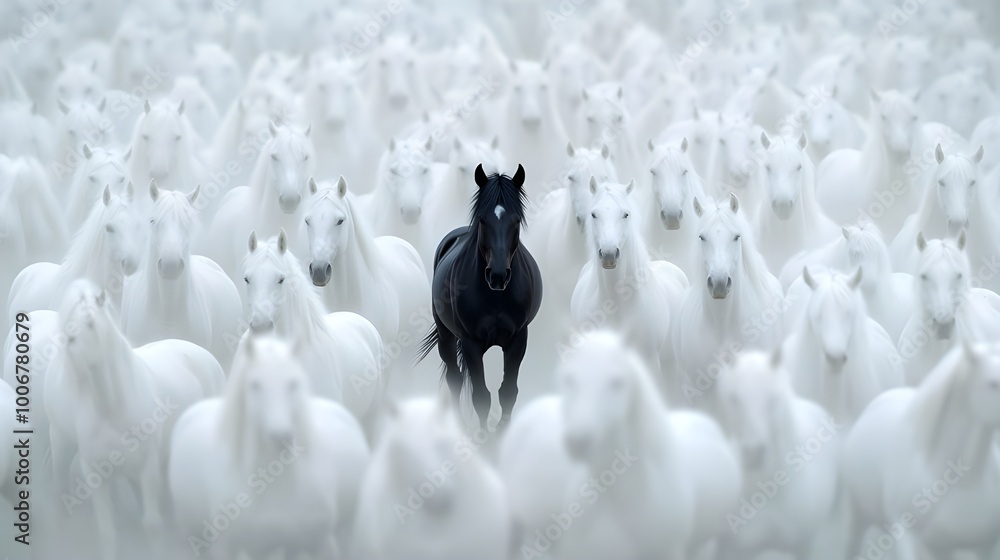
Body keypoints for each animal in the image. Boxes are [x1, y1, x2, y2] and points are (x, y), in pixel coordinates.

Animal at [44, 279, 224, 559]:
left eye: (90, 323)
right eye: (67, 321)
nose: (68, 356)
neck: (112, 407)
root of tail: (205, 356)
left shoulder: (148, 467)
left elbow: (151, 524)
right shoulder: (96, 474)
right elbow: (107, 532)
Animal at [416, 165, 542, 430]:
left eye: (516, 220)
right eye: (483, 220)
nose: (498, 276)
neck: (496, 298)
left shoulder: (518, 339)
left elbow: (508, 391)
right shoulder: (470, 342)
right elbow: (481, 396)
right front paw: (482, 437)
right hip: (446, 336)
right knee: (454, 378)